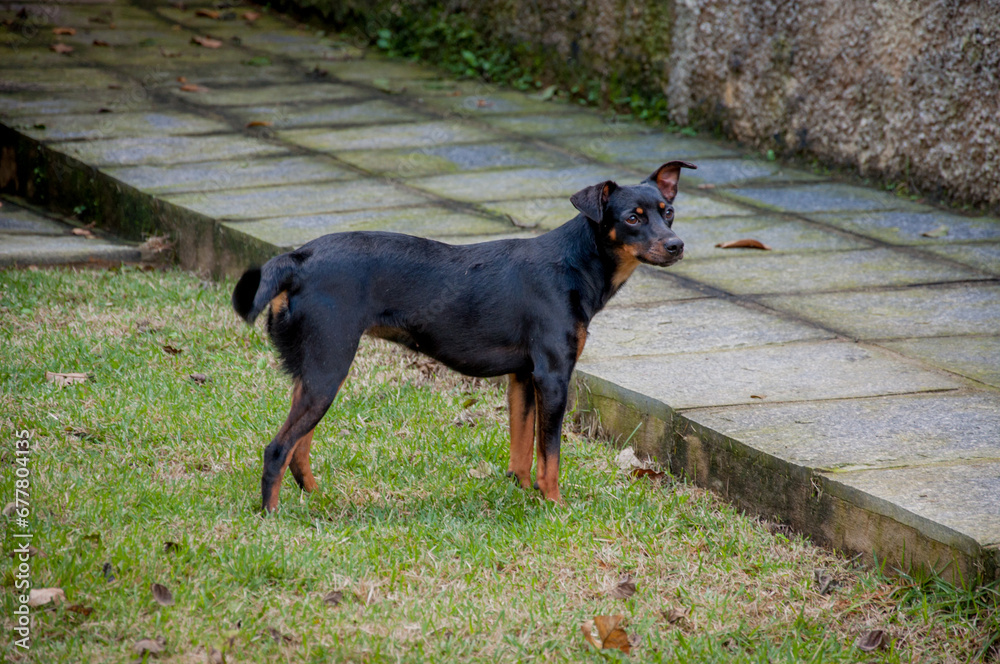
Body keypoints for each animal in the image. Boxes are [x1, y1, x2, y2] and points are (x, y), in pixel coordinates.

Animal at [232, 161, 696, 512]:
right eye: (632, 218)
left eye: (668, 212)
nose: (676, 244)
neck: (575, 262)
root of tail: (299, 259)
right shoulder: (553, 377)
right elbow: (550, 457)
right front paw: (555, 506)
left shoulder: (523, 379)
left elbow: (522, 451)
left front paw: (521, 496)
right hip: (328, 370)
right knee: (278, 449)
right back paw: (272, 516)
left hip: (316, 374)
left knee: (299, 449)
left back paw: (318, 500)